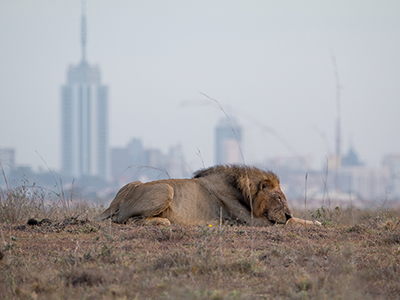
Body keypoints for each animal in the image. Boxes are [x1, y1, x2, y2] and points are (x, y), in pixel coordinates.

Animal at [94, 165, 322, 226]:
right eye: (279, 198)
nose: (288, 213)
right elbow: (292, 223)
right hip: (166, 189)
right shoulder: (254, 221)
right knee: (127, 220)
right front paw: (314, 222)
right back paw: (165, 221)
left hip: (135, 183)